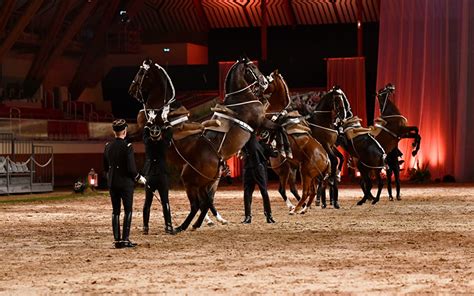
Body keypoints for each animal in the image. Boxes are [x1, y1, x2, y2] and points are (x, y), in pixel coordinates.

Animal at [128, 57, 288, 232]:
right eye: (253, 67)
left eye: (141, 73)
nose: (264, 81)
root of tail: (217, 158)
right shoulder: (259, 124)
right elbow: (278, 127)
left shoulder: (259, 123)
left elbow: (279, 127)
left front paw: (283, 148)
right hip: (197, 182)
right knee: (201, 204)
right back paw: (189, 225)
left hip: (201, 183)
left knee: (201, 204)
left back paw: (192, 225)